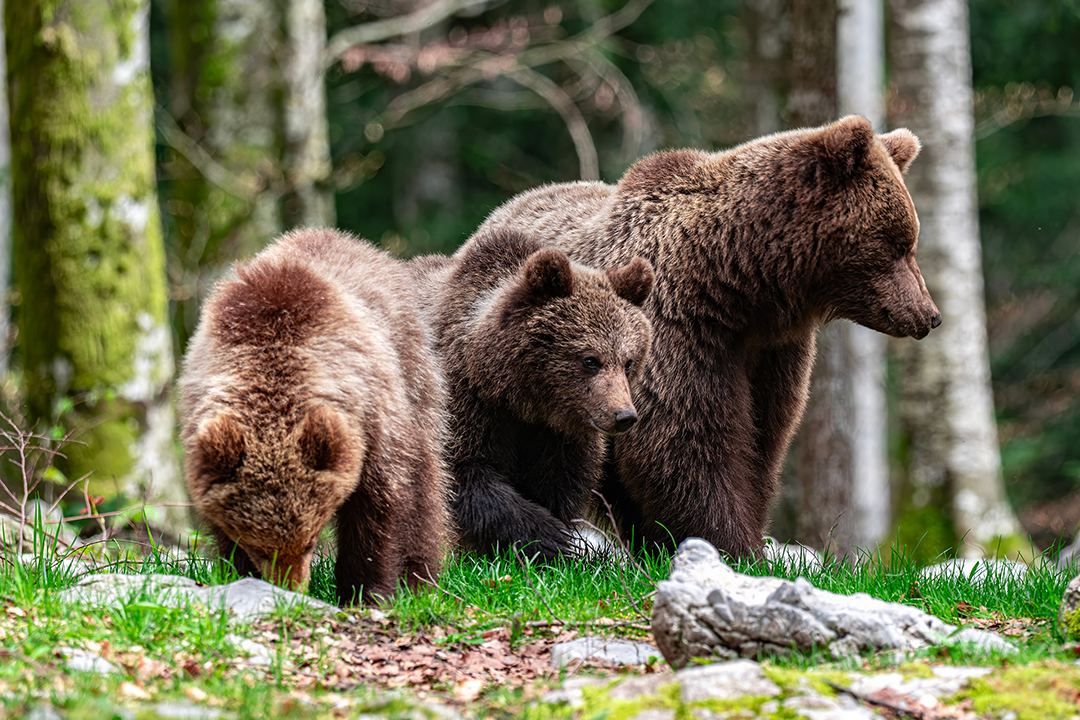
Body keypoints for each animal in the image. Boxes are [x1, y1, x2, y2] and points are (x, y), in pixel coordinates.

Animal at [178, 228, 451, 605]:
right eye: (260, 548)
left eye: (310, 541)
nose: (290, 589)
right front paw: (239, 575)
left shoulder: (371, 421)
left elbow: (379, 507)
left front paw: (366, 590)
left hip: (415, 375)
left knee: (425, 484)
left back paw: (420, 577)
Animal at [412, 228, 654, 560]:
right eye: (590, 360)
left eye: (629, 361)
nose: (624, 415)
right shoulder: (465, 398)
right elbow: (464, 470)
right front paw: (551, 538)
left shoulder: (558, 434)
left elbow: (556, 483)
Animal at [462, 115, 941, 559]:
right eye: (899, 244)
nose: (929, 315)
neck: (739, 283)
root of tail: (498, 213)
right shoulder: (677, 328)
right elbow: (686, 441)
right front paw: (733, 546)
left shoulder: (772, 353)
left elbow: (763, 441)